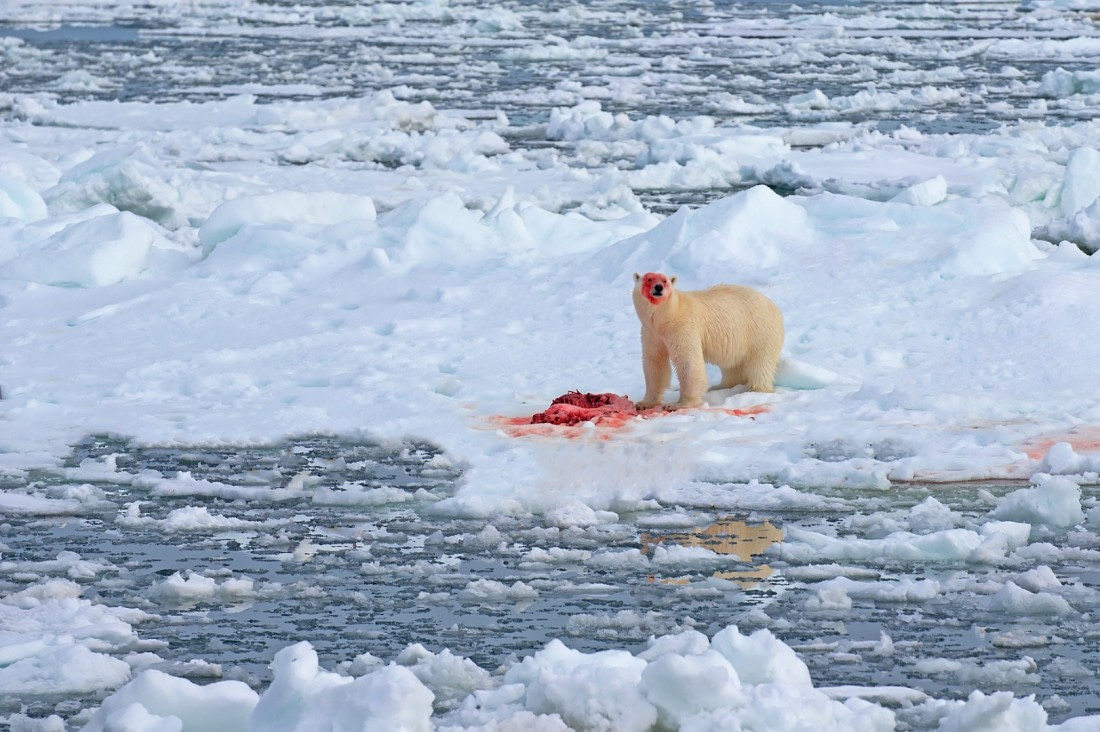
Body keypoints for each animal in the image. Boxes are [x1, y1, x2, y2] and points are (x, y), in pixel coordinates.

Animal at [632, 272, 784, 410]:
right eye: (649, 279)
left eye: (664, 280)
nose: (658, 287)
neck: (666, 317)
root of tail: (774, 306)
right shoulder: (651, 332)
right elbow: (654, 362)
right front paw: (645, 403)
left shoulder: (682, 327)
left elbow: (687, 361)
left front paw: (678, 404)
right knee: (732, 365)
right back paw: (719, 387)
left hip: (759, 332)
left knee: (759, 363)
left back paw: (756, 390)